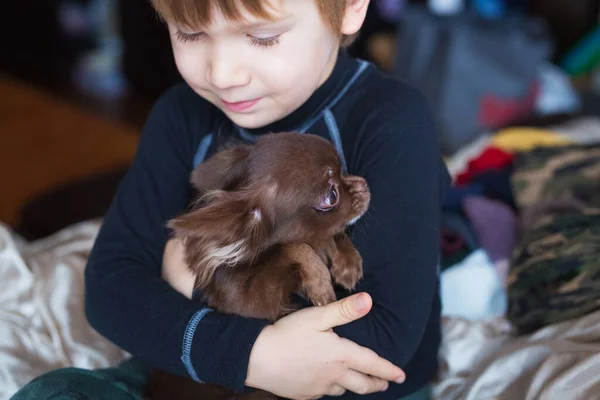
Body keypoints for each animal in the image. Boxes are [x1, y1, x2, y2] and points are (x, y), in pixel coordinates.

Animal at [146, 133, 370, 400]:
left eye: (342, 168)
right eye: (332, 196)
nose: (364, 184)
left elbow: (327, 234)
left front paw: (347, 262)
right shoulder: (251, 303)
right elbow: (292, 247)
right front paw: (320, 282)